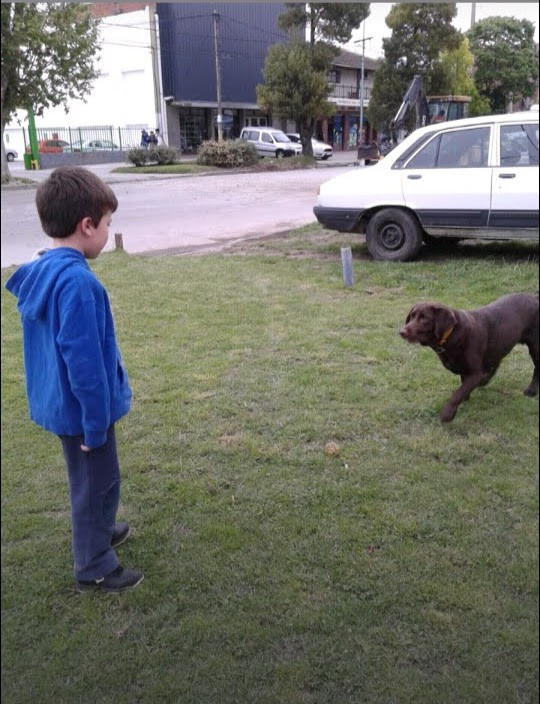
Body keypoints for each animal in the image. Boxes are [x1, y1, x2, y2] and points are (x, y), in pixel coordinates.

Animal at [398, 292, 536, 420]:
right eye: (411, 317)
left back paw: (531, 391)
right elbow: (463, 386)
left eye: (424, 319)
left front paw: (447, 413)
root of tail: (535, 297)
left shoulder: (475, 373)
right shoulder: (465, 369)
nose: (401, 332)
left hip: (535, 347)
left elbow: (458, 393)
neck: (451, 335)